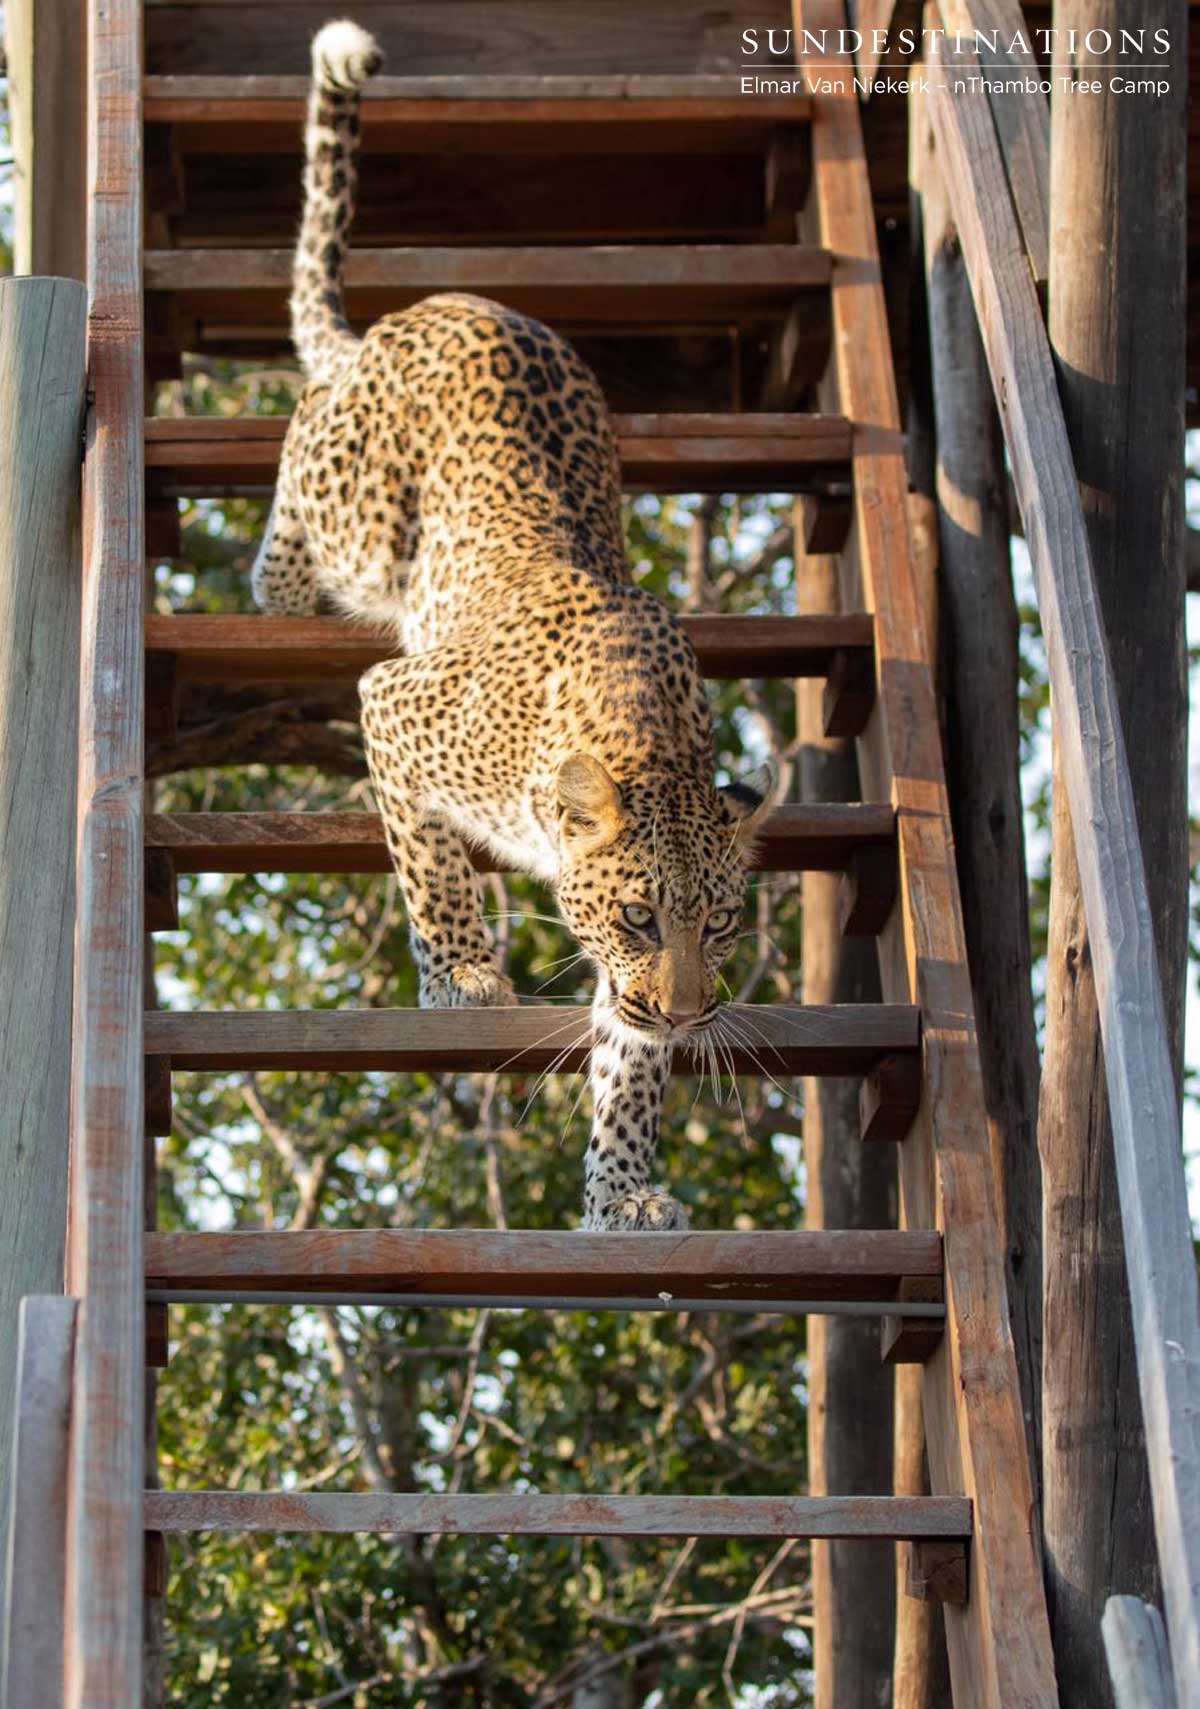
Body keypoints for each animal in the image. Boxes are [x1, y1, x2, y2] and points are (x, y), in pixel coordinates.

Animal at [251, 18, 778, 1231]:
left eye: (721, 922)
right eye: (639, 916)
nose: (689, 1012)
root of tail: (443, 303)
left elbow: (626, 1070)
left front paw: (622, 1191)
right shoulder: (397, 710)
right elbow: (430, 859)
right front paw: (461, 972)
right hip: (358, 513)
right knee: (300, 472)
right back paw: (278, 587)